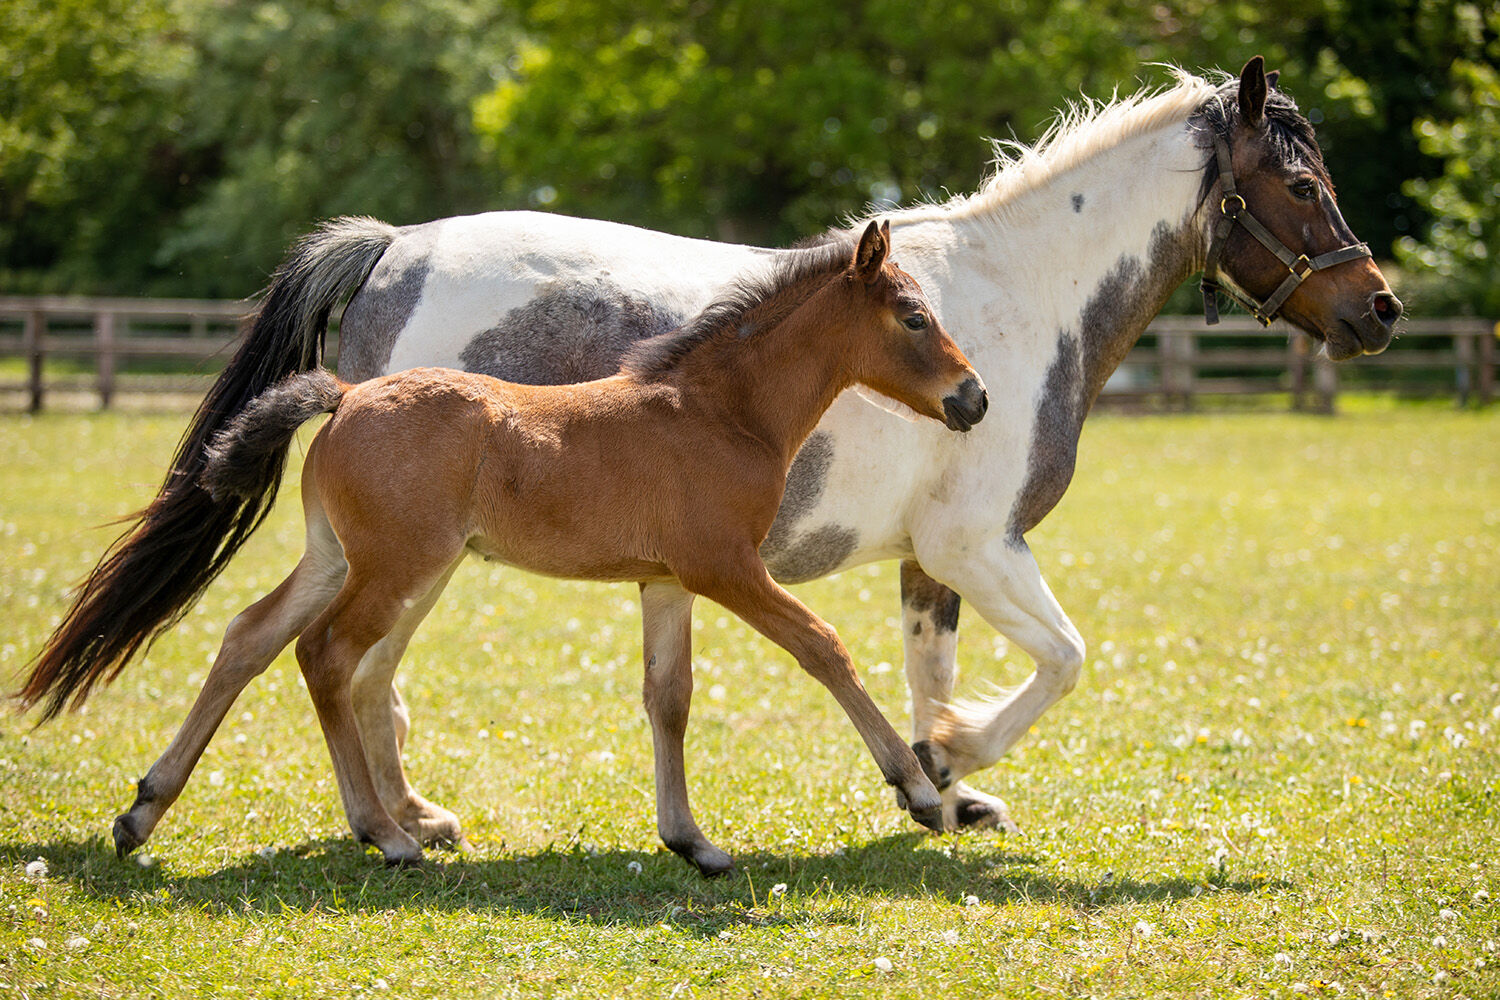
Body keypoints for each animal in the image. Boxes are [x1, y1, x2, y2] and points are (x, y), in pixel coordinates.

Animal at [96, 220, 984, 875]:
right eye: (913, 316)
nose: (973, 398)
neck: (717, 413)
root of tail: (345, 396)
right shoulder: (726, 566)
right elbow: (824, 646)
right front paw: (916, 789)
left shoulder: (667, 580)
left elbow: (670, 696)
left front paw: (693, 843)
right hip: (397, 565)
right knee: (328, 654)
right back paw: (386, 833)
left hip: (336, 556)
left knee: (253, 633)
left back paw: (144, 808)